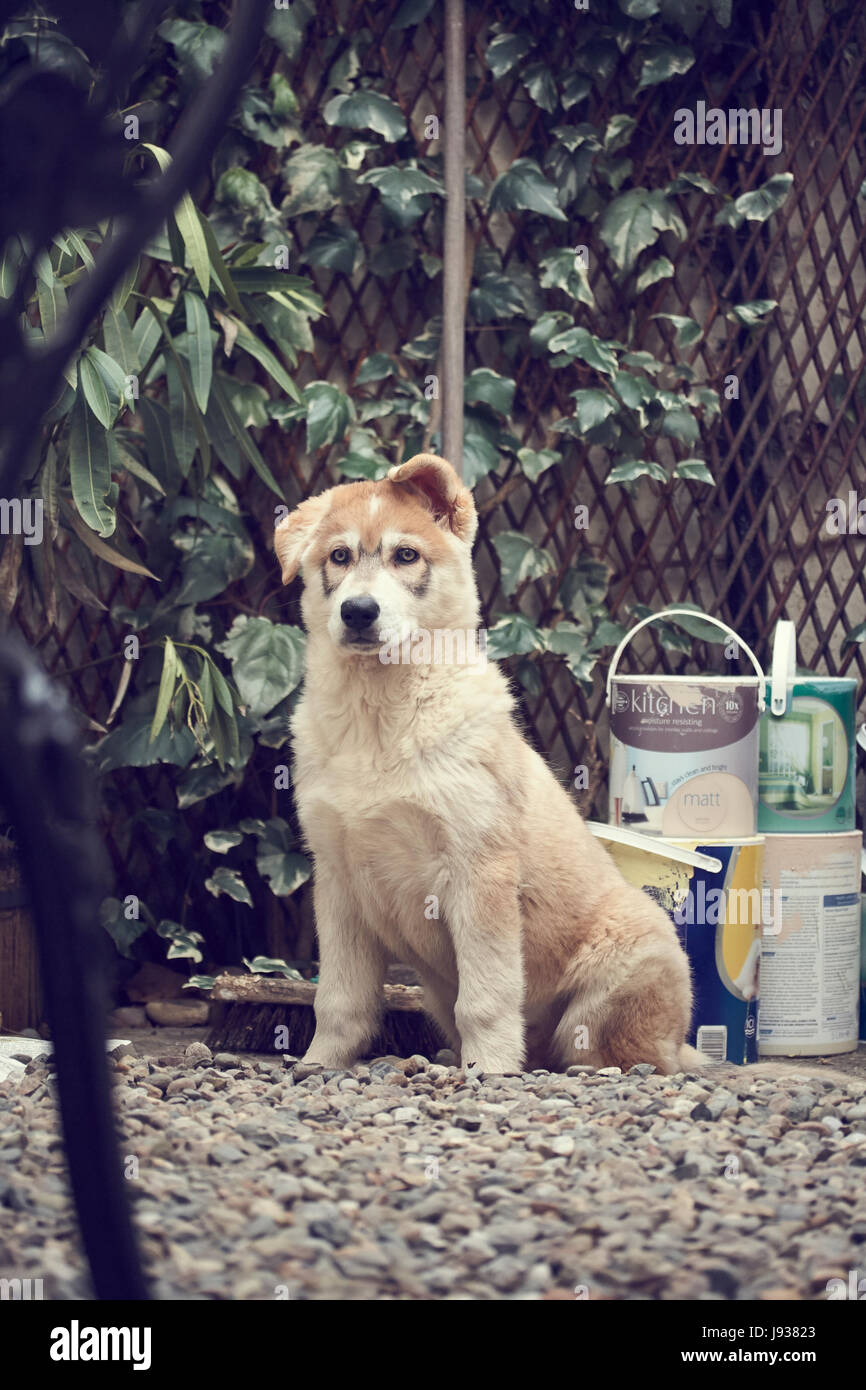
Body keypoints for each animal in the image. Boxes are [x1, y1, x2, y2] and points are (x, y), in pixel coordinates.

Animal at [273, 455, 700, 1073]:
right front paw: (319, 1064)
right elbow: (338, 999)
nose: (358, 612)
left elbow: (487, 995)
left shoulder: (479, 872)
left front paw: (490, 1069)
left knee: (612, 1051)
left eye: (407, 556)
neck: (380, 715)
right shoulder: (338, 881)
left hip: (624, 979)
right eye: (339, 557)